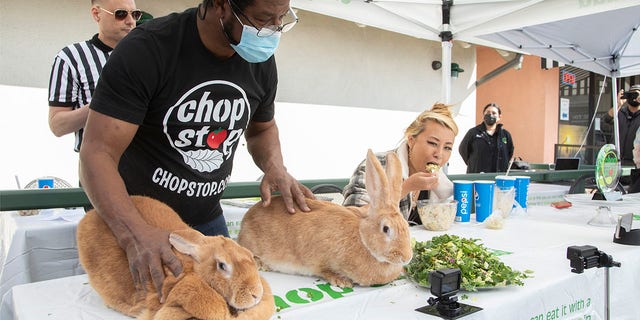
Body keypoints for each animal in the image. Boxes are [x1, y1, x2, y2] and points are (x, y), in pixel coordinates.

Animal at [238, 149, 412, 288]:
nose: (406, 258)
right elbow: (324, 270)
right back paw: (261, 264)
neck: (363, 240)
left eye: (407, 226)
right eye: (386, 229)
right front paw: (342, 281)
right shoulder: (318, 261)